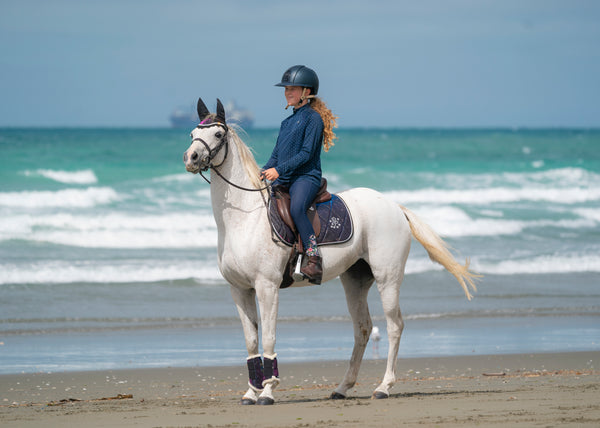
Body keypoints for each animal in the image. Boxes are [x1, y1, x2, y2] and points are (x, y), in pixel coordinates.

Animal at [183, 98, 478, 406]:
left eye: (218, 134)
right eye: (192, 134)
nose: (191, 158)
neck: (244, 217)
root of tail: (394, 207)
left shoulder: (267, 286)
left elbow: (269, 337)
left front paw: (267, 391)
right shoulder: (240, 289)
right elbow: (252, 341)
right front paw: (251, 392)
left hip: (388, 278)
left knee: (394, 325)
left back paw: (384, 387)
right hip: (356, 281)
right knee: (362, 328)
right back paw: (343, 387)